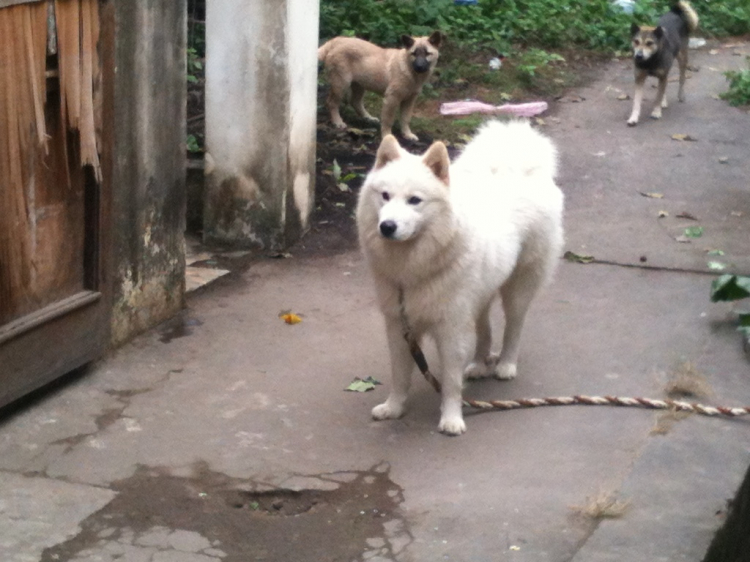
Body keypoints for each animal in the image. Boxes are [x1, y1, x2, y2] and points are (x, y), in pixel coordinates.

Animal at [318, 32, 446, 141]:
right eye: (414, 54)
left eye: (427, 54)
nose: (419, 67)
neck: (409, 71)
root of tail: (336, 41)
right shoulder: (391, 99)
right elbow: (388, 120)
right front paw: (387, 136)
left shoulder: (409, 100)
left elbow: (405, 119)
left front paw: (407, 134)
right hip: (341, 84)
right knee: (331, 103)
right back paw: (338, 122)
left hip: (359, 85)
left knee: (355, 102)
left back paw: (368, 118)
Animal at [358, 119, 564, 434]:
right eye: (385, 196)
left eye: (414, 200)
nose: (387, 226)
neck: (413, 266)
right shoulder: (399, 325)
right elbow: (400, 375)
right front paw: (394, 408)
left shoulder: (451, 329)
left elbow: (451, 381)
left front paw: (452, 418)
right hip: (479, 295)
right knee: (485, 328)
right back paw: (479, 363)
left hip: (518, 287)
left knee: (514, 326)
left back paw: (506, 364)